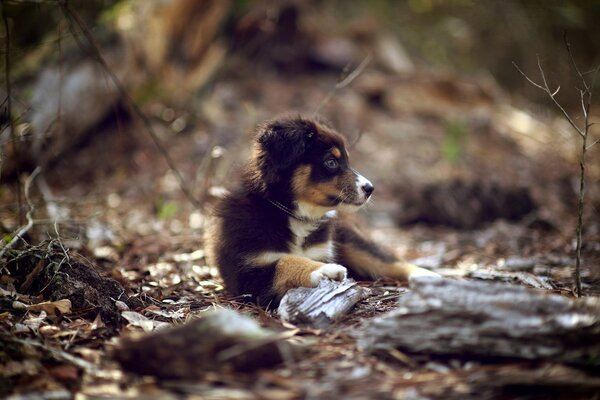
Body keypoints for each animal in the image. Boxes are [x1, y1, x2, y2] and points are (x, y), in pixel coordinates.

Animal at [206, 115, 440, 306]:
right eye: (331, 162)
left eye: (346, 160)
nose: (370, 189)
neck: (293, 214)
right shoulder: (248, 272)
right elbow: (285, 261)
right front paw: (324, 270)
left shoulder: (323, 249)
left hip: (348, 239)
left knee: (384, 259)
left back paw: (427, 275)